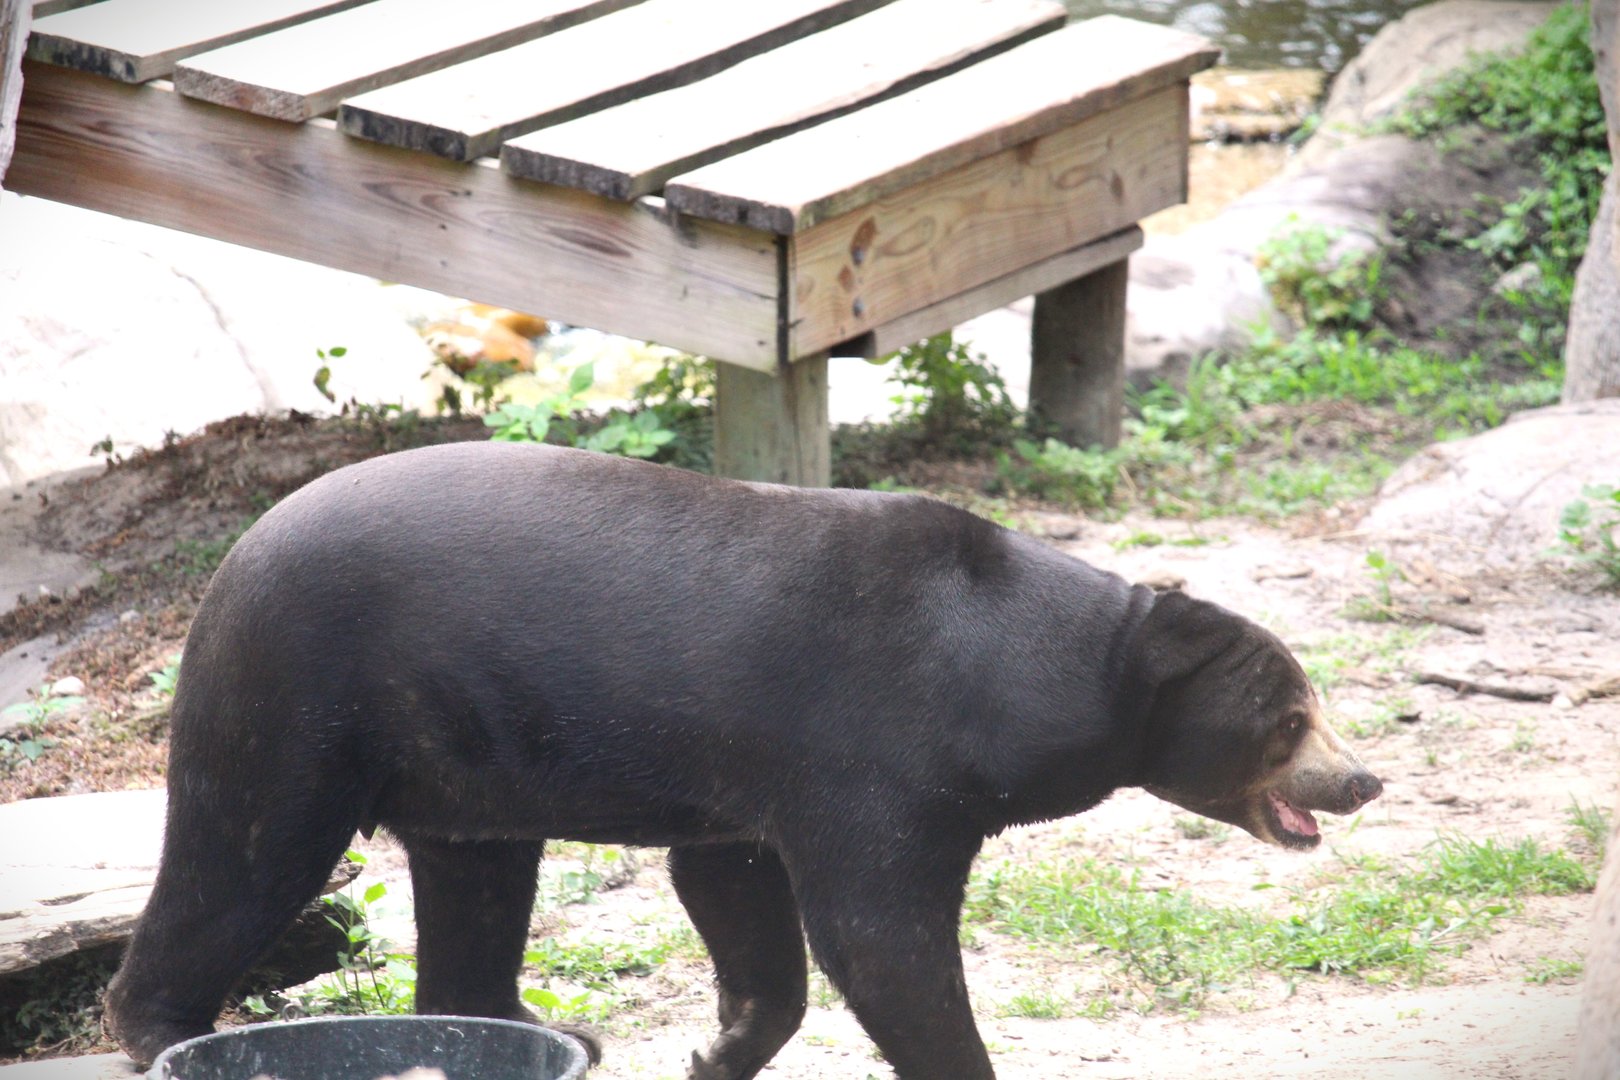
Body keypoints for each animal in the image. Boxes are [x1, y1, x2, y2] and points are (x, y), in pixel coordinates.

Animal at [104, 441, 1382, 1079]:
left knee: (475, 882)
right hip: (303, 694)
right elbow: (881, 937)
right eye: (1291, 720)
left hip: (465, 744)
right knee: (245, 851)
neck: (1001, 673)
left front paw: (713, 1051)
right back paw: (170, 1035)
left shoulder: (756, 777)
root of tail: (234, 559)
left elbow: (742, 903)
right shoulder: (868, 748)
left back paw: (544, 1036)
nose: (1361, 778)